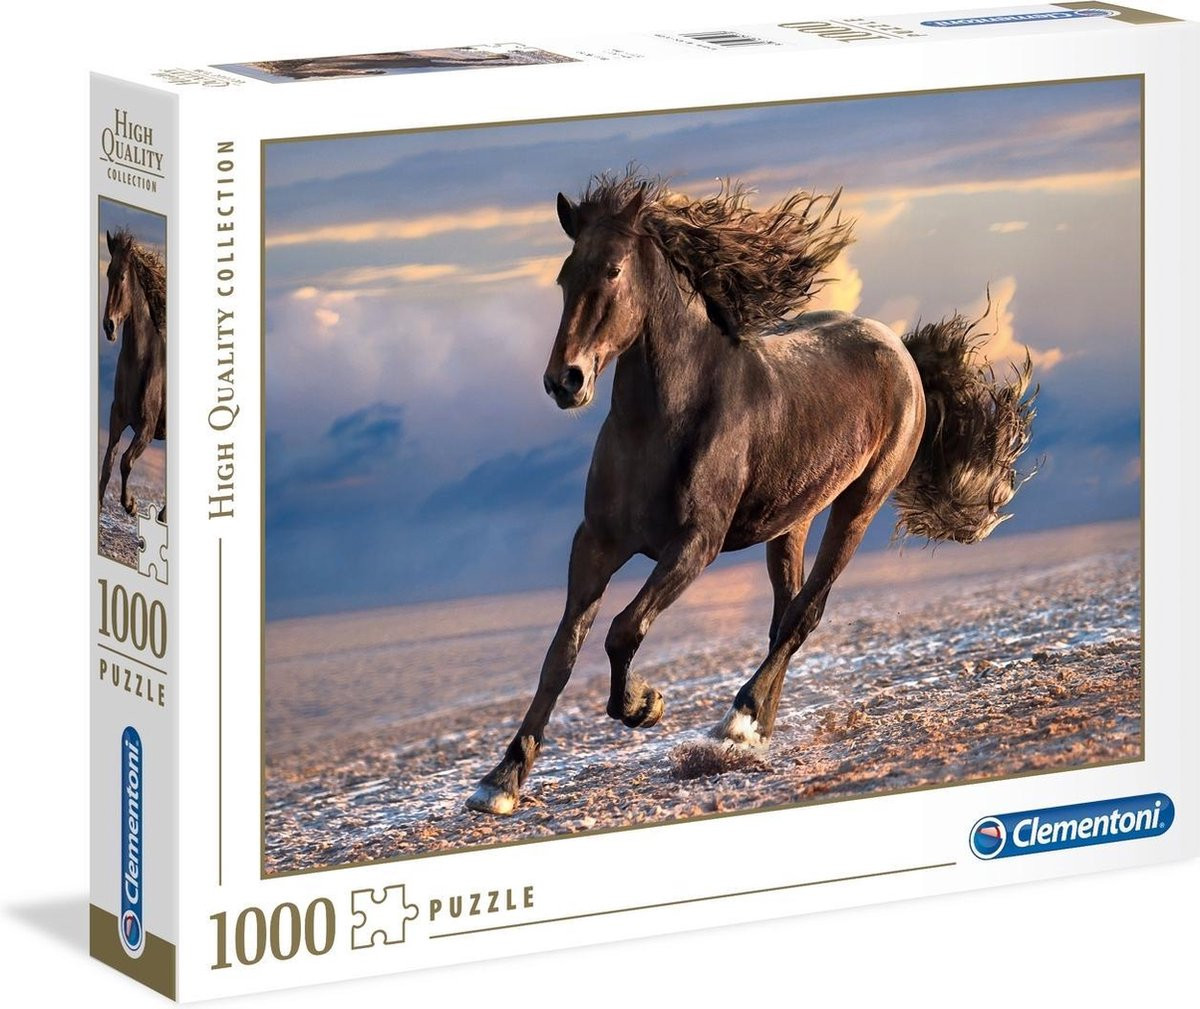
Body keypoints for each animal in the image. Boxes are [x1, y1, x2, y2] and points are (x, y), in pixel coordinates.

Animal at [467, 171, 1035, 816]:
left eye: (612, 270)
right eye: (565, 277)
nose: (565, 381)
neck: (662, 423)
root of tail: (901, 351)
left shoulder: (696, 544)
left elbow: (623, 629)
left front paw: (644, 706)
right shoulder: (596, 543)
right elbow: (560, 655)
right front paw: (501, 781)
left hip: (858, 504)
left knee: (805, 613)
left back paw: (736, 722)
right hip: (792, 519)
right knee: (784, 614)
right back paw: (756, 728)